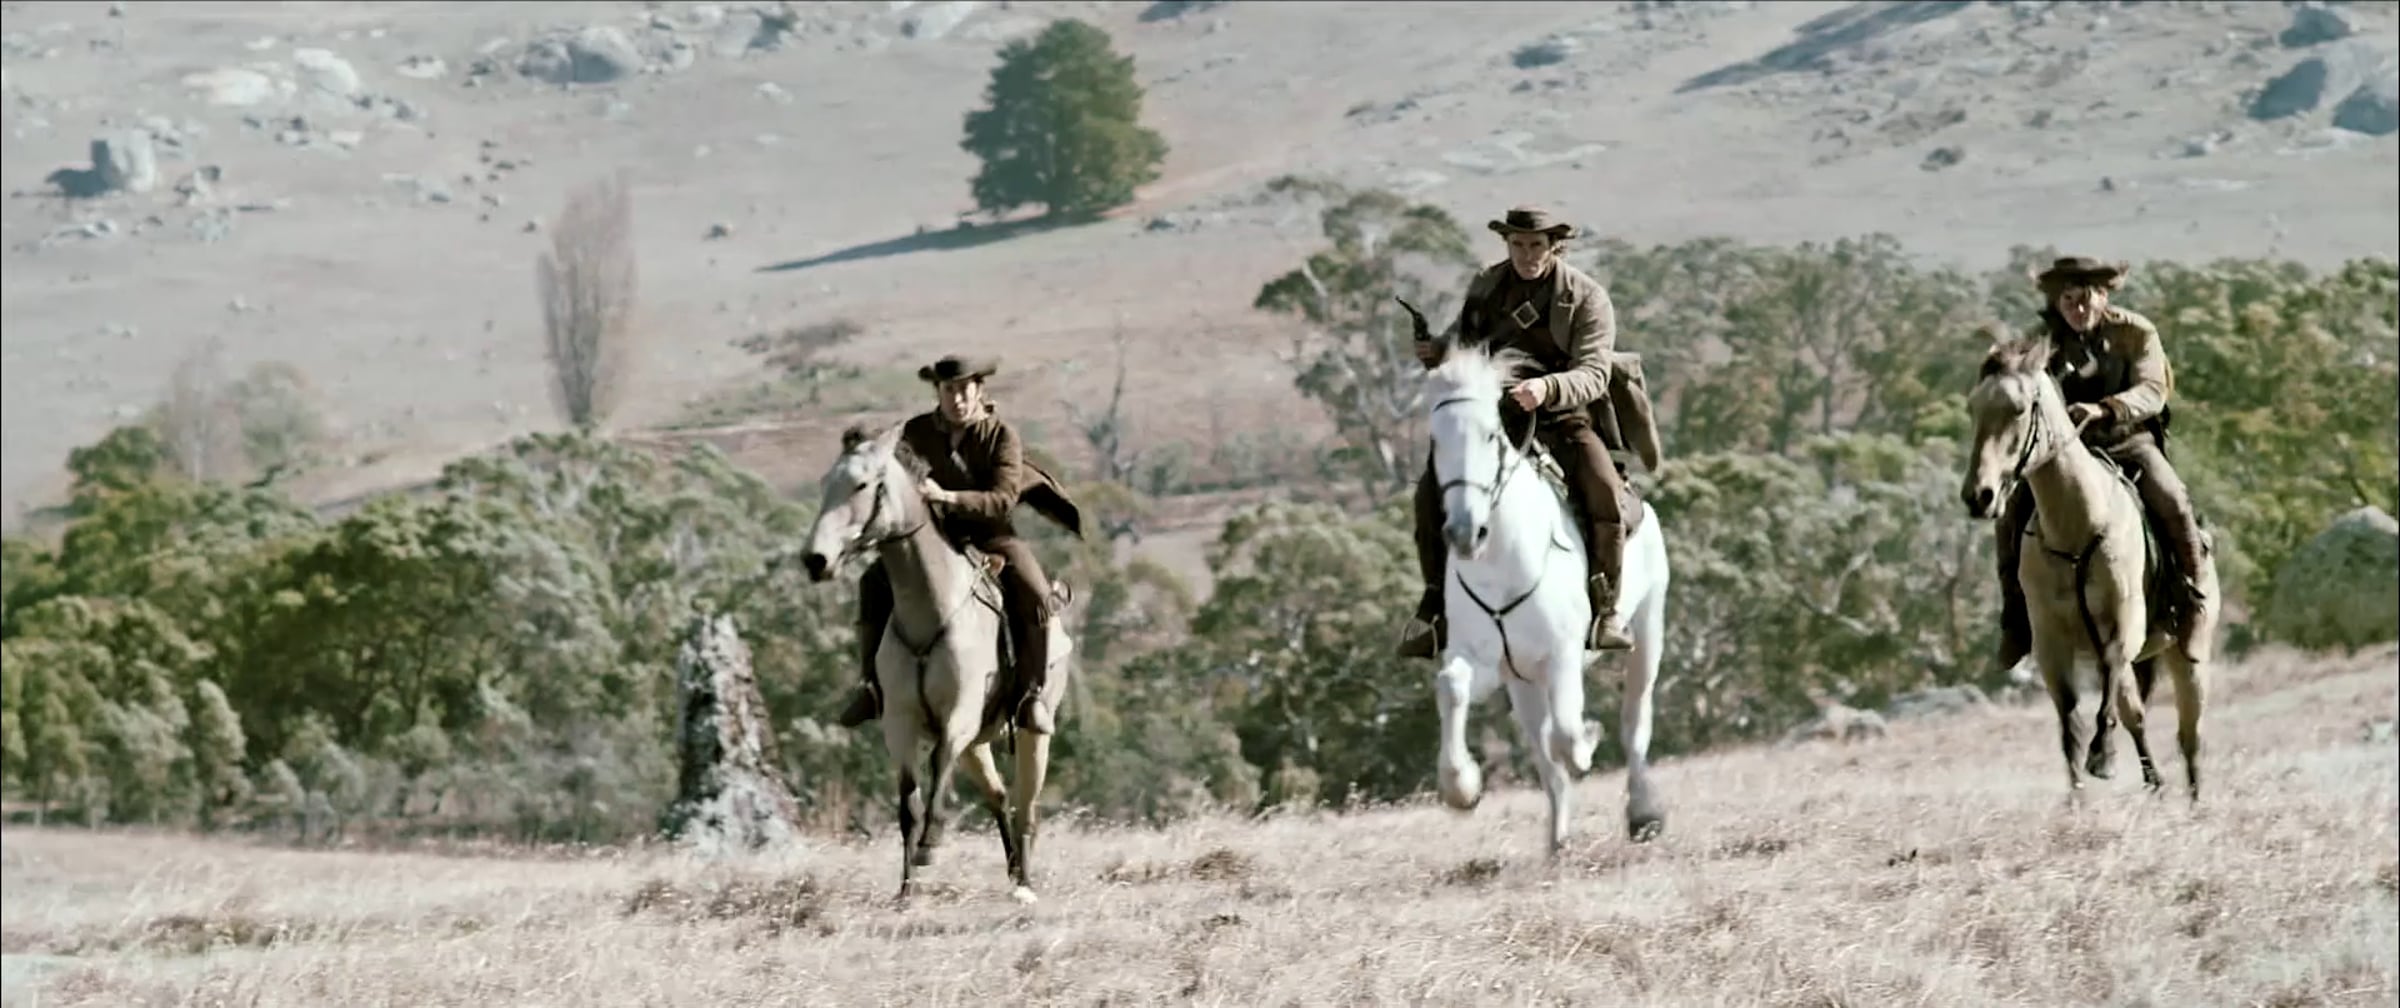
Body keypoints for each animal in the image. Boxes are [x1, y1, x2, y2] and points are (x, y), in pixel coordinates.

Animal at [799, 423, 1073, 904]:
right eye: (825, 483)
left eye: (863, 485)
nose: (816, 560)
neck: (931, 608)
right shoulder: (901, 724)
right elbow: (908, 803)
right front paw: (906, 890)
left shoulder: (957, 718)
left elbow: (939, 767)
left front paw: (930, 844)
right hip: (980, 743)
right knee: (1000, 797)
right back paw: (1011, 871)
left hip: (1031, 732)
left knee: (1026, 805)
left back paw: (1024, 883)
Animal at [1408, 309, 1674, 859]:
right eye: (1436, 441)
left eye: (1492, 435)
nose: (1464, 532)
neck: (1502, 563)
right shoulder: (1486, 661)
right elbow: (1453, 687)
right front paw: (1461, 787)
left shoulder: (1564, 656)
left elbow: (1570, 735)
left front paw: (1589, 742)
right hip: (1521, 680)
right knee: (1544, 755)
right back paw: (1558, 842)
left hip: (1647, 628)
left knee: (1634, 722)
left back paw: (1643, 813)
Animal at [1960, 332, 2215, 803]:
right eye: (1973, 407)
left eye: (2019, 408)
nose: (1979, 496)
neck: (2077, 528)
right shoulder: (2050, 645)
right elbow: (2071, 727)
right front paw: (2077, 799)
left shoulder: (2122, 626)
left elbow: (2110, 692)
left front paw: (2104, 757)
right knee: (2138, 717)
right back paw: (2155, 784)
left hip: (2189, 660)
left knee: (2189, 737)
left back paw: (2193, 802)